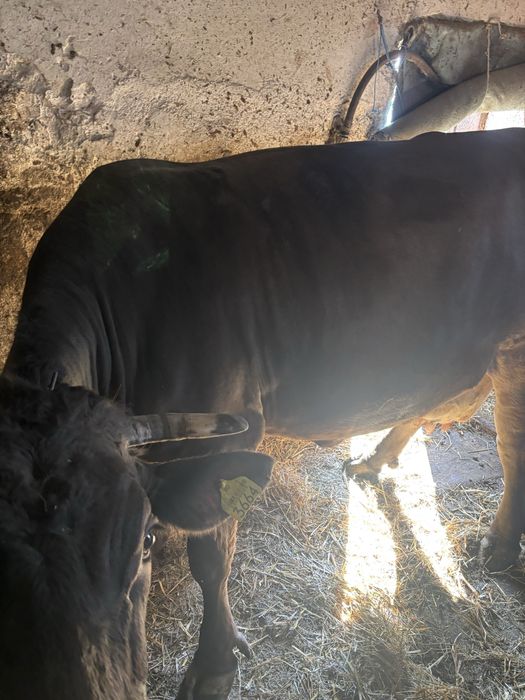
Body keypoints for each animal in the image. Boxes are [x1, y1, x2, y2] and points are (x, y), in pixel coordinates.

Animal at [1, 127, 524, 700]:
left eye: (145, 542)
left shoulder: (230, 429)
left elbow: (211, 561)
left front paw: (214, 664)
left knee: (512, 448)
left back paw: (499, 546)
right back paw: (372, 462)